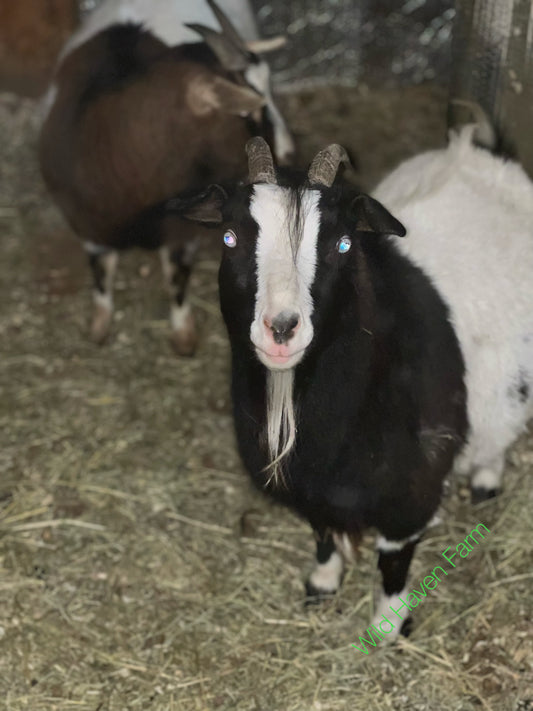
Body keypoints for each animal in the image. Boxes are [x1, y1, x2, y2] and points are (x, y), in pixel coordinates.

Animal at [39, 0, 294, 354]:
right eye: (248, 115)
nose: (283, 162)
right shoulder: (88, 224)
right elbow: (101, 273)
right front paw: (100, 326)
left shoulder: (181, 230)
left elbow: (178, 277)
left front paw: (183, 334)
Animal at [164, 131, 528, 632]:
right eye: (229, 237)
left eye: (341, 245)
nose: (281, 328)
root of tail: (477, 149)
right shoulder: (311, 489)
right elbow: (323, 534)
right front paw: (321, 584)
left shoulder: (412, 491)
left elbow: (393, 560)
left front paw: (388, 624)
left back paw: (486, 479)